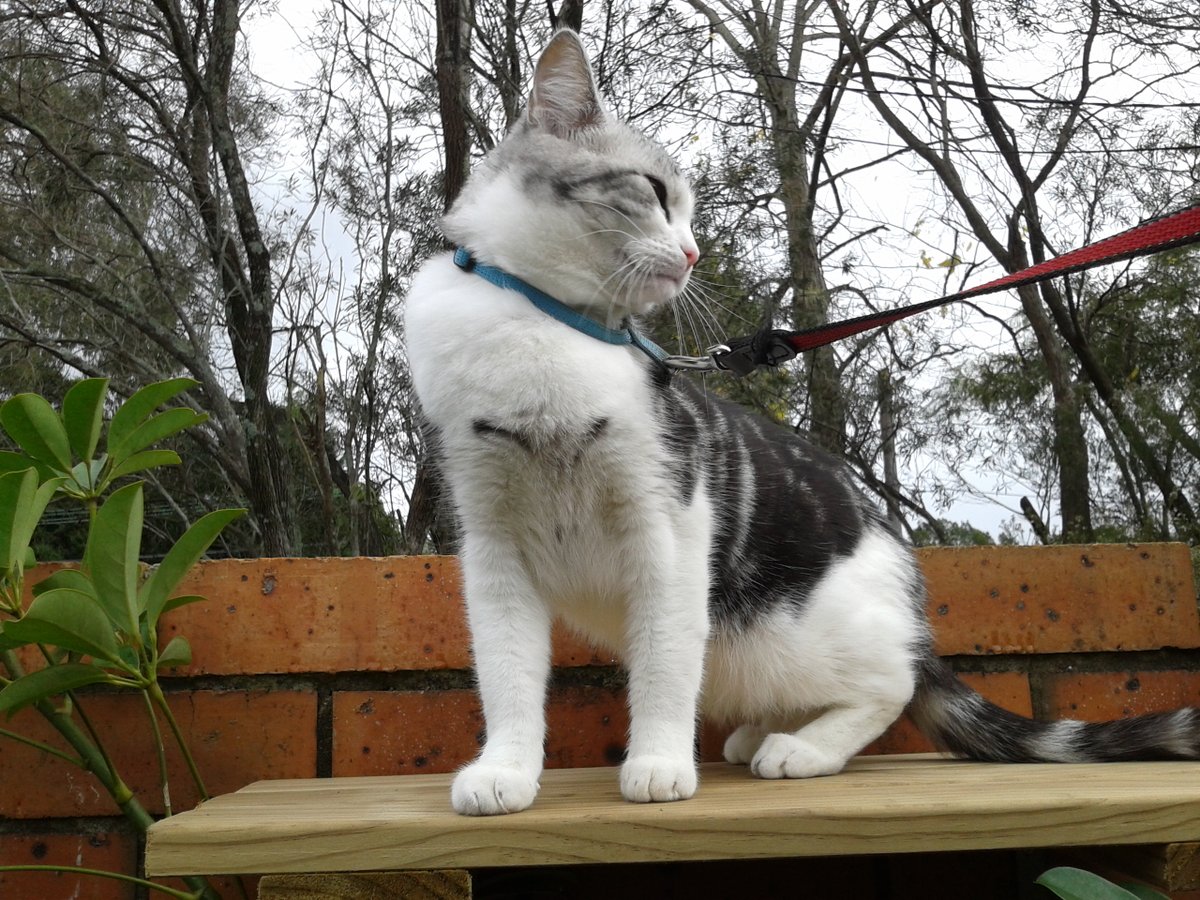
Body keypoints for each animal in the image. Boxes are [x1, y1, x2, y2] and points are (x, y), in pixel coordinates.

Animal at [405, 28, 1200, 816]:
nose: (693, 252)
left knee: (889, 685)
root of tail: (916, 623)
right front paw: (505, 769)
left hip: (787, 632)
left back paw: (803, 748)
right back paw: (760, 734)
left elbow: (664, 662)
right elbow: (507, 671)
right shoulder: (493, 545)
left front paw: (658, 763)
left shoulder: (668, 530)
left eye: (688, 212)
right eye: (655, 193)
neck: (542, 328)